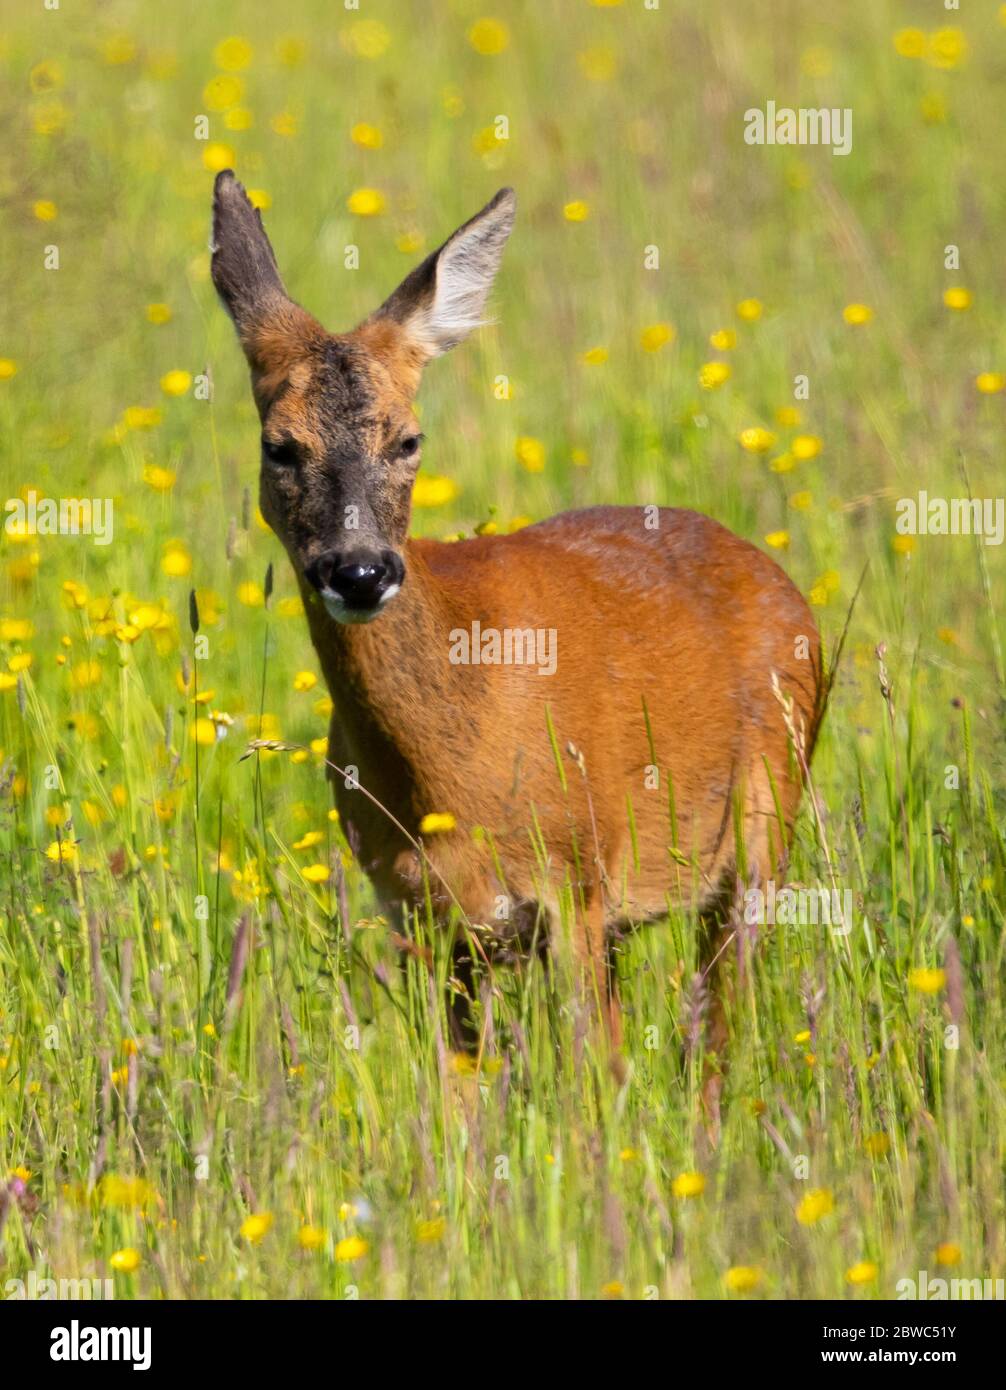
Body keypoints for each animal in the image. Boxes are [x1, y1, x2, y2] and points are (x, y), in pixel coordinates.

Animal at [211, 172, 823, 1103]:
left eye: (409, 438)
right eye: (280, 446)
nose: (360, 571)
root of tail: (777, 577)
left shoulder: (575, 883)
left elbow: (593, 1080)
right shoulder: (419, 917)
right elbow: (462, 1094)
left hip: (763, 831)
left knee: (716, 1035)